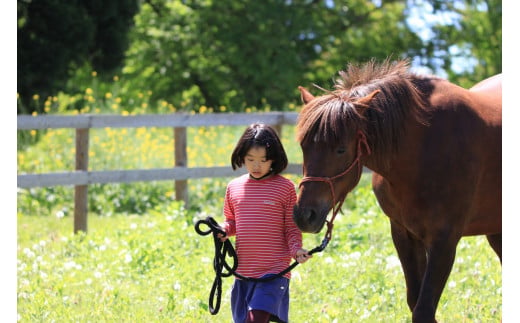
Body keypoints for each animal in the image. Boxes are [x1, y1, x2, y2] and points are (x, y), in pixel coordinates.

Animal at [292, 59, 500, 322]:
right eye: (303, 146)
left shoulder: (445, 240)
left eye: (340, 149)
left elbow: (423, 309)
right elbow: (415, 301)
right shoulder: (404, 234)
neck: (425, 146)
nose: (304, 215)